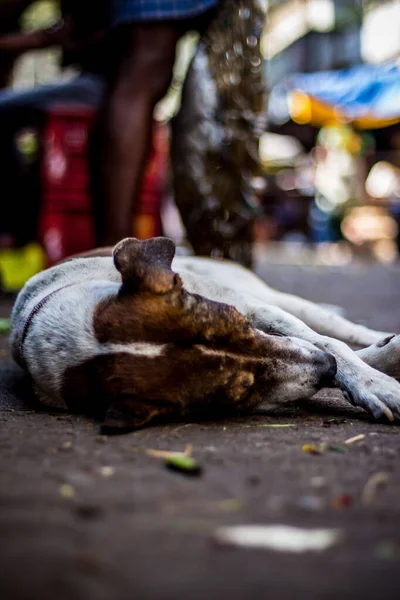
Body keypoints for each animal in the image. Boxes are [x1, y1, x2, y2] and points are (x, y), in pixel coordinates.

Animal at [8, 236, 400, 432]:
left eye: (240, 324)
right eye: (239, 395)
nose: (327, 368)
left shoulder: (253, 309)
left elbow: (329, 344)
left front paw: (375, 384)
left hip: (275, 298)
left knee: (338, 330)